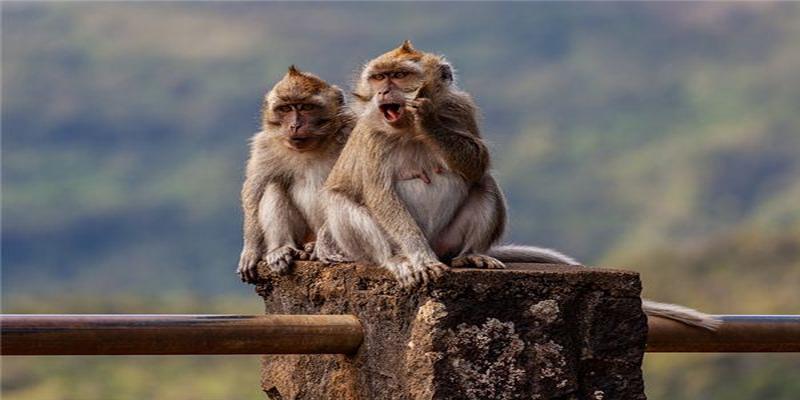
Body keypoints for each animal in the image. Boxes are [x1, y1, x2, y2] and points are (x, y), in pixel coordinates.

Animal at [234, 66, 354, 284]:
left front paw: (324, 243)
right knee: (273, 185)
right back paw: (281, 249)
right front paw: (251, 250)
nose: (295, 125)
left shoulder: (351, 131)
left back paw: (315, 247)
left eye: (306, 107)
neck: (312, 146)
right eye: (285, 109)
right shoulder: (264, 145)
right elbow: (254, 190)